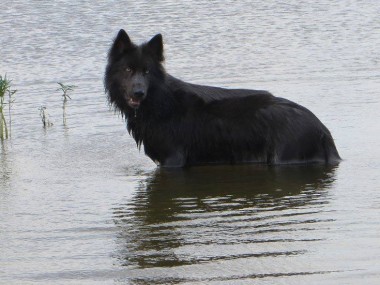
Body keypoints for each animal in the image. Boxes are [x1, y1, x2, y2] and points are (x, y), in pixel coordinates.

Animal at [104, 29, 342, 166]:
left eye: (146, 72)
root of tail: (322, 128)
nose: (138, 93)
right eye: (128, 70)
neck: (160, 101)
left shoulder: (173, 161)